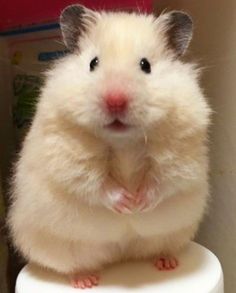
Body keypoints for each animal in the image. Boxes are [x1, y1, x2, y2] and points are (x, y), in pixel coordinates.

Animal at [7, 3, 211, 288]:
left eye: (145, 65)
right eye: (93, 63)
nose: (115, 100)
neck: (124, 141)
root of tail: (121, 256)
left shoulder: (180, 152)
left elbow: (163, 181)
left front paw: (139, 203)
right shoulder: (68, 156)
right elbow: (94, 184)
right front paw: (126, 204)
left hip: (176, 232)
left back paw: (167, 263)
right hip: (59, 248)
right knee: (73, 265)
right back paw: (85, 280)